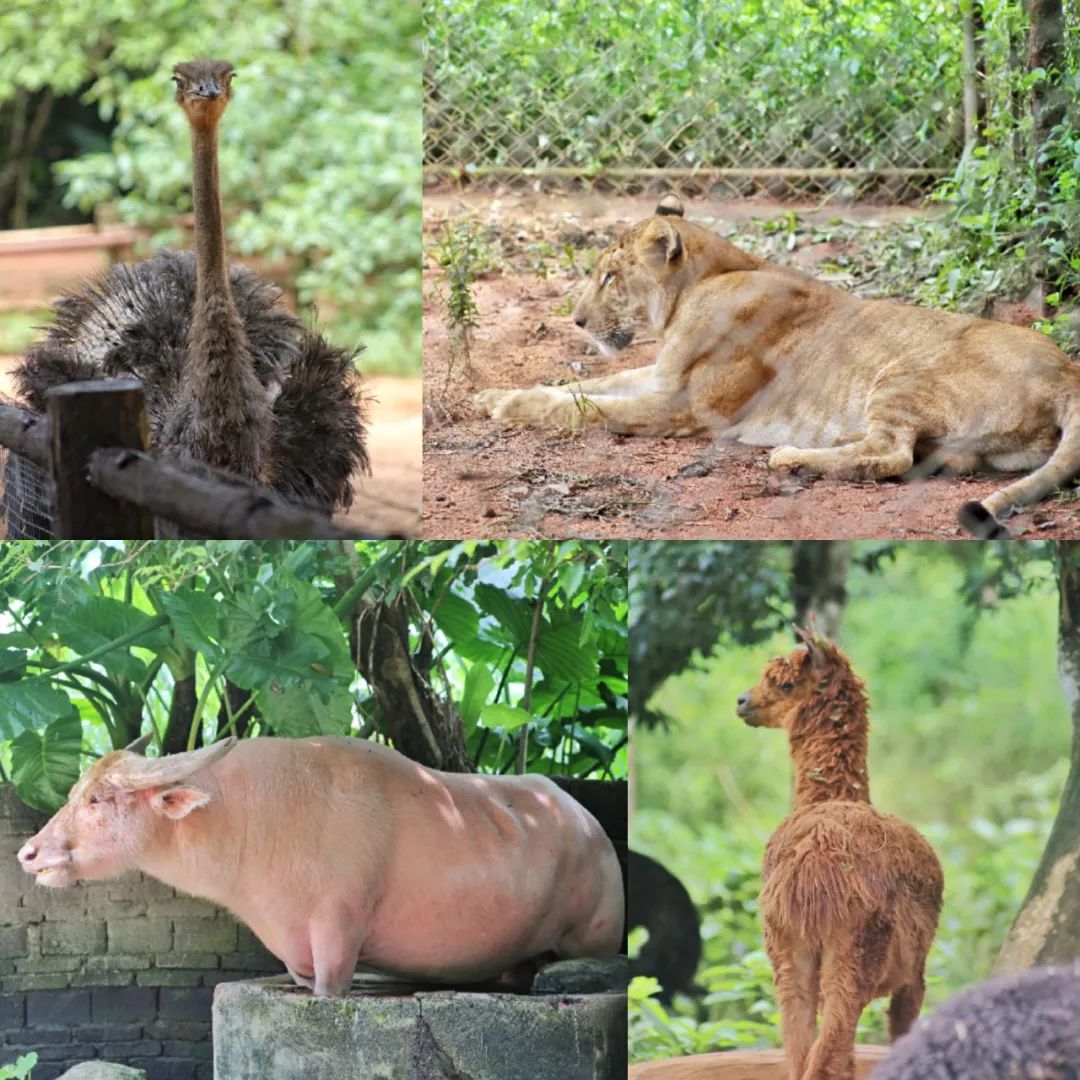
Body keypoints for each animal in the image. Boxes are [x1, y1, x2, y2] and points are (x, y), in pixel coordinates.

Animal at [19, 734, 626, 993]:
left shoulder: (338, 934)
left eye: (98, 799)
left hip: (593, 936)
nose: (29, 852)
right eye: (75, 792)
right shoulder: (295, 953)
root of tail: (590, 827)